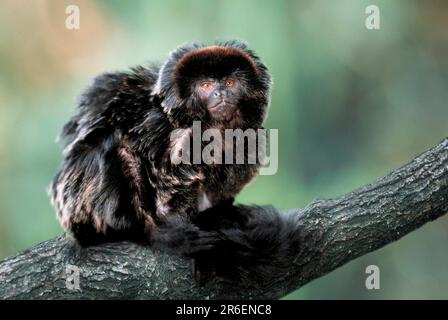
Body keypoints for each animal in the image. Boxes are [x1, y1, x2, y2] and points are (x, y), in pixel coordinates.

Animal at [50, 40, 300, 284]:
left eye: (230, 82)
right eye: (206, 86)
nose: (220, 93)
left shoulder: (251, 137)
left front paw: (219, 215)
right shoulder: (157, 125)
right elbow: (166, 182)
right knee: (113, 147)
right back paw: (152, 234)